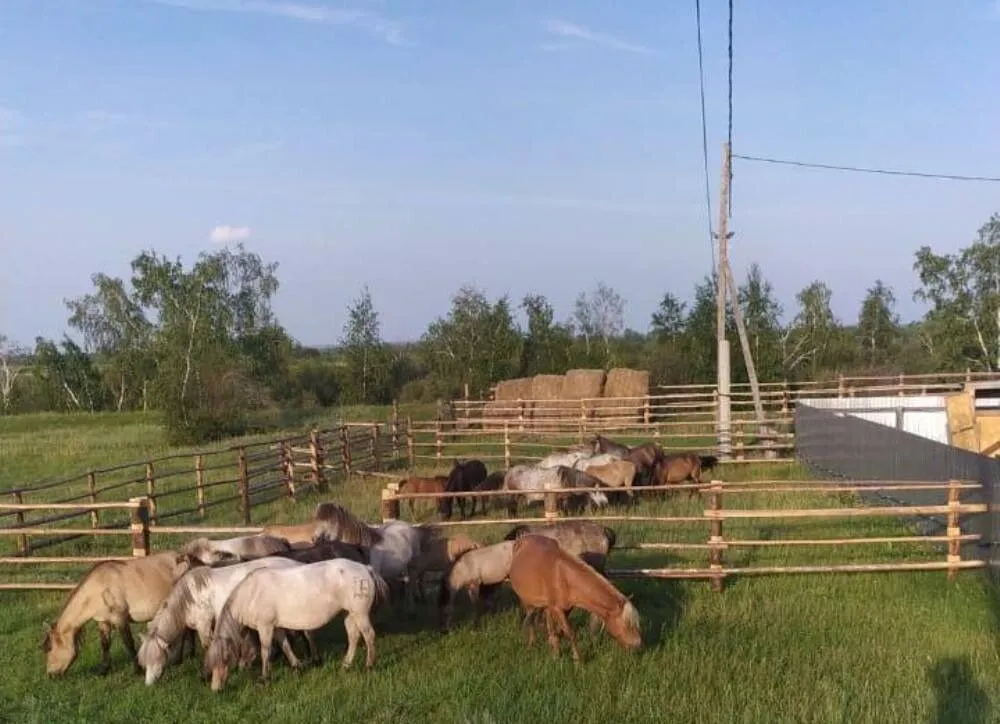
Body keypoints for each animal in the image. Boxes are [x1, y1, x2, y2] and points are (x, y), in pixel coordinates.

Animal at [136, 556, 304, 684]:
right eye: (144, 661)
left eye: (156, 658)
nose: (149, 684)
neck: (191, 596)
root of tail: (296, 563)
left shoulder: (203, 625)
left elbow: (206, 647)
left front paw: (206, 674)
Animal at [203, 560, 390, 692]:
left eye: (225, 659)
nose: (216, 689)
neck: (252, 593)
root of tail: (366, 568)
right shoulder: (276, 627)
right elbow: (285, 645)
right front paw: (297, 666)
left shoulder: (265, 627)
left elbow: (265, 650)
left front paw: (265, 678)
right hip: (349, 614)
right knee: (353, 637)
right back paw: (345, 666)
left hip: (360, 613)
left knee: (369, 635)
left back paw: (369, 666)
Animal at [508, 532, 640, 660]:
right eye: (628, 624)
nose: (638, 645)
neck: (563, 576)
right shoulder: (556, 608)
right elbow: (570, 633)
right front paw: (577, 660)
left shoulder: (565, 608)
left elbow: (559, 631)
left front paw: (555, 652)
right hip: (526, 600)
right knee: (530, 619)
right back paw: (532, 643)